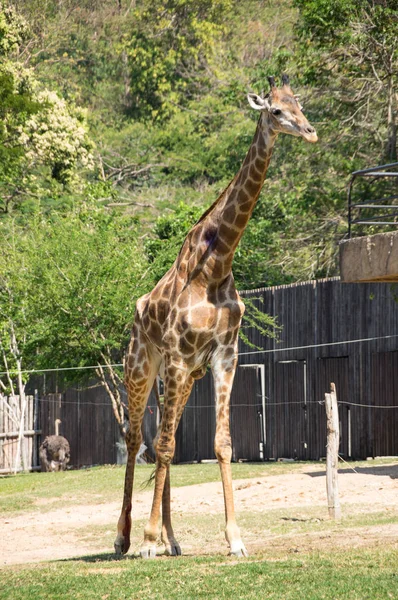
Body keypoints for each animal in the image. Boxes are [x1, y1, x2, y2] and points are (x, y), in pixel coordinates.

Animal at [114, 75, 318, 556]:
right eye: (276, 111)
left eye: (299, 105)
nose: (310, 132)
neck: (218, 263)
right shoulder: (175, 356)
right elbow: (165, 446)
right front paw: (145, 541)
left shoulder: (224, 355)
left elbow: (221, 444)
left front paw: (235, 539)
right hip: (142, 366)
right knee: (137, 439)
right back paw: (125, 537)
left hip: (183, 376)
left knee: (162, 437)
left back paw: (171, 540)